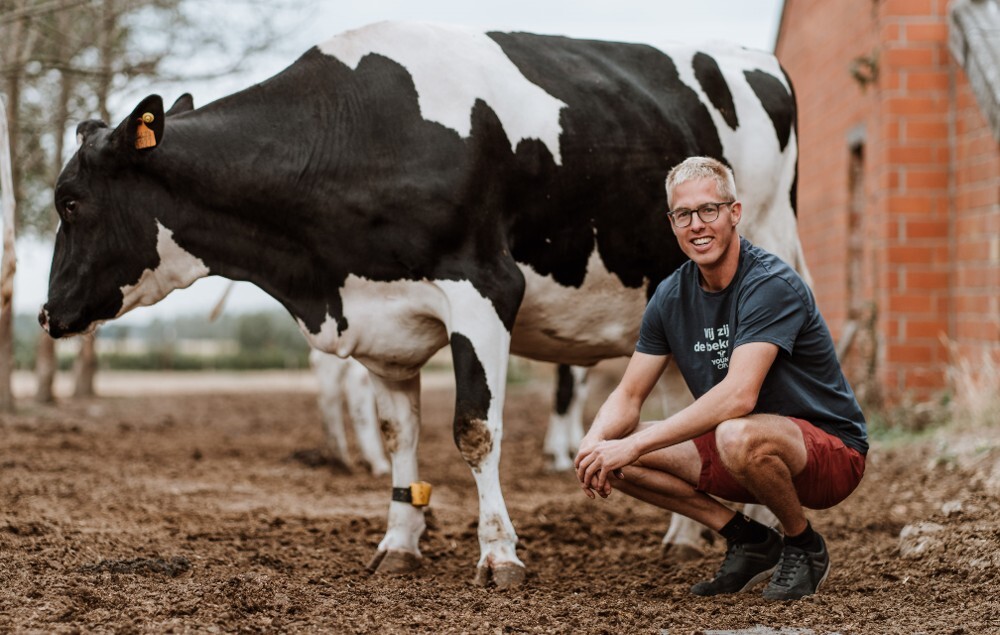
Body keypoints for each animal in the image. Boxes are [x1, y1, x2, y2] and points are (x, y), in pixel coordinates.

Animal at [41, 22, 804, 588]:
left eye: (70, 201)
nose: (48, 314)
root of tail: (760, 56)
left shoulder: (484, 289)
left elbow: (475, 429)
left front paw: (499, 553)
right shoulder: (383, 322)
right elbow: (398, 436)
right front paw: (399, 542)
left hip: (767, 250)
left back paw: (762, 521)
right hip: (668, 298)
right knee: (680, 405)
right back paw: (684, 537)